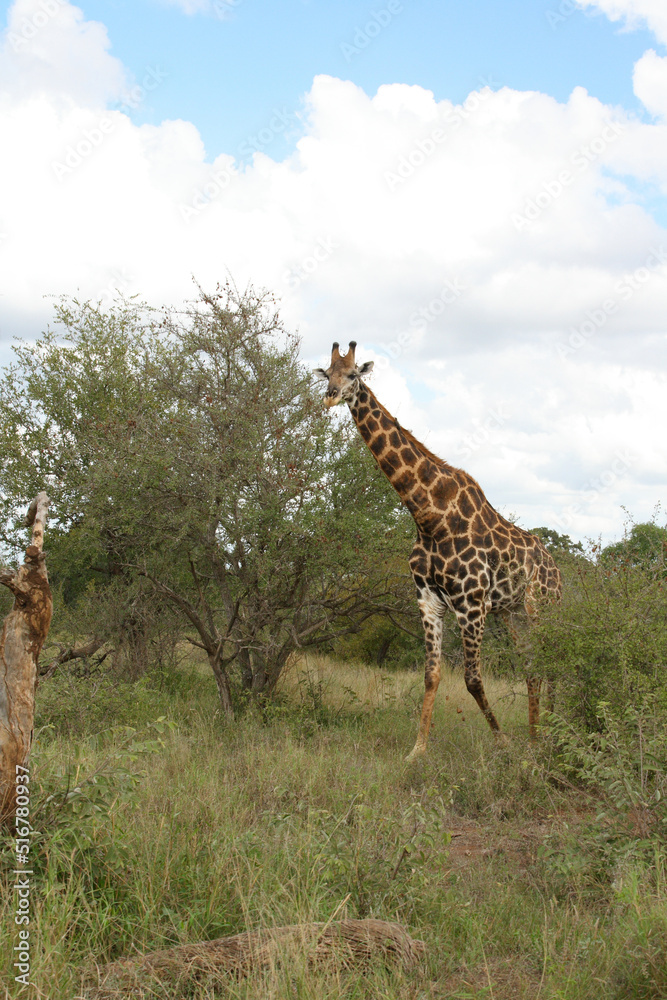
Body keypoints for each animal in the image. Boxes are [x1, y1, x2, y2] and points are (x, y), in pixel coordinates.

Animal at [314, 341, 562, 759]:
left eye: (353, 375)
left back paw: (556, 735)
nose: (330, 396)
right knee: (533, 666)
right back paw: (535, 737)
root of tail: (558, 569)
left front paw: (503, 742)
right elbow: (431, 675)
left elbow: (472, 679)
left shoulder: (471, 602)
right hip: (514, 613)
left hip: (544, 606)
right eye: (326, 374)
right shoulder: (429, 600)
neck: (429, 517)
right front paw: (417, 751)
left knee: (553, 661)